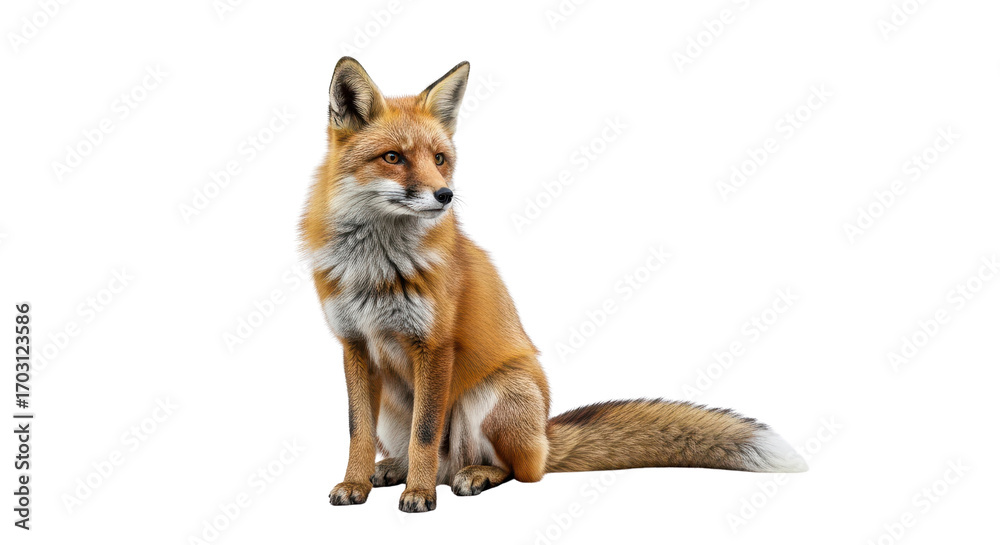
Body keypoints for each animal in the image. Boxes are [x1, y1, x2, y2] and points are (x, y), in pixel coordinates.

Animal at [300, 57, 808, 513]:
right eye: (393, 158)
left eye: (440, 160)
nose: (445, 195)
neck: (375, 267)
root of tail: (545, 435)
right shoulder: (354, 345)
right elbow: (357, 432)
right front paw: (354, 483)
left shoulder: (435, 345)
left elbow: (425, 435)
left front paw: (420, 495)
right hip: (394, 404)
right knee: (418, 452)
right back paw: (393, 469)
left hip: (496, 394)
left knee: (518, 471)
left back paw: (468, 475)